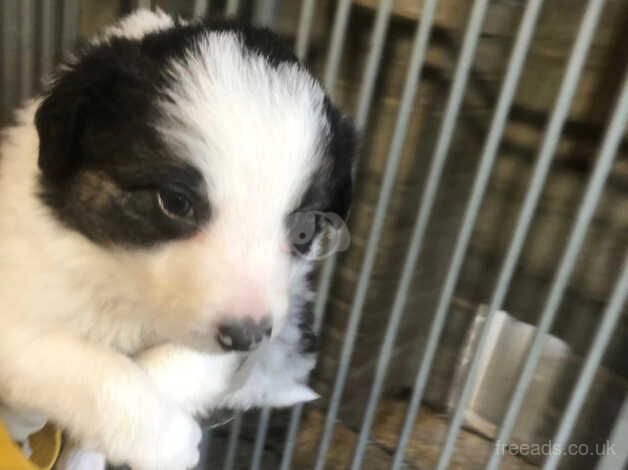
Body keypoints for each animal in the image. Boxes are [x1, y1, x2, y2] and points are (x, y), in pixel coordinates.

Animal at [0, 8, 354, 470]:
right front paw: (169, 440)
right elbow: (93, 368)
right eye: (174, 201)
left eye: (304, 230)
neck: (127, 285)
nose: (246, 336)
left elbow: (177, 365)